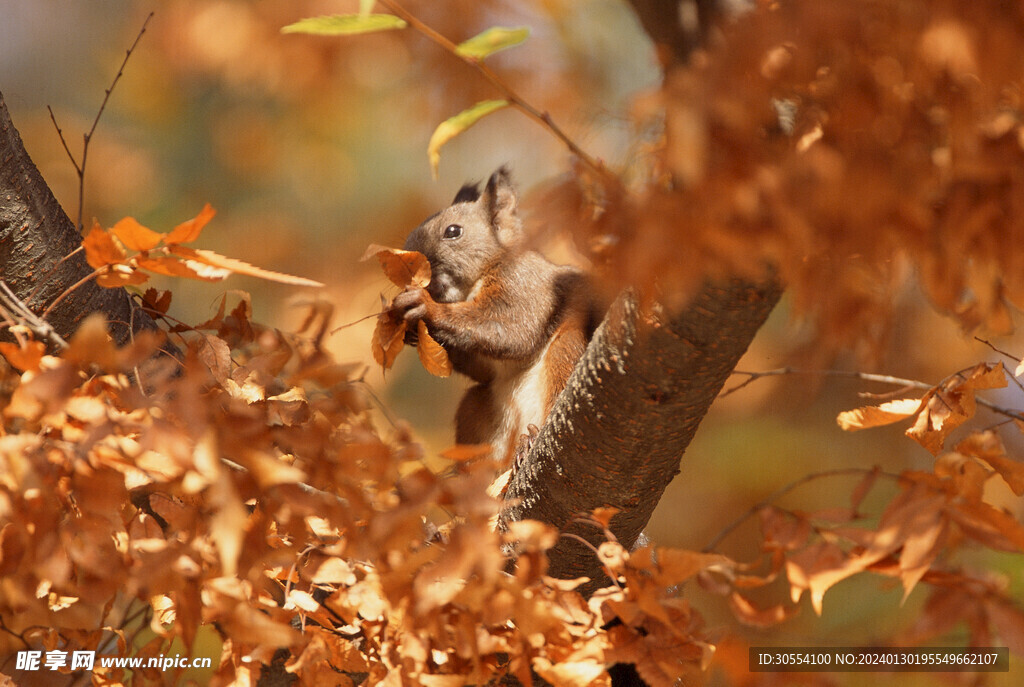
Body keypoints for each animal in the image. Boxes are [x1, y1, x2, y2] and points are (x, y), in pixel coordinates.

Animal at [395, 166, 598, 473]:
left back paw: (530, 439)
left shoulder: (524, 285)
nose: (408, 268)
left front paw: (426, 307)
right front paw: (411, 332)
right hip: (474, 408)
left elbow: (511, 329)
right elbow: (482, 367)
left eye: (453, 231)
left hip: (565, 353)